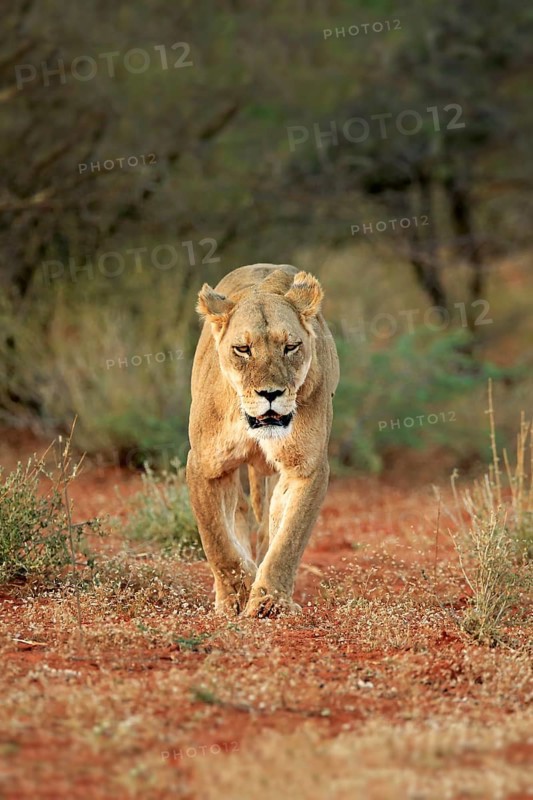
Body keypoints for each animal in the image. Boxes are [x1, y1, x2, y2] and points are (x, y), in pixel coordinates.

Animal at [186, 264, 339, 618]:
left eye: (291, 346)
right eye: (243, 349)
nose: (270, 394)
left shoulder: (306, 468)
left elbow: (288, 539)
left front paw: (270, 602)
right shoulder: (204, 465)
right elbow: (217, 540)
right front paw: (235, 596)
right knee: (239, 513)